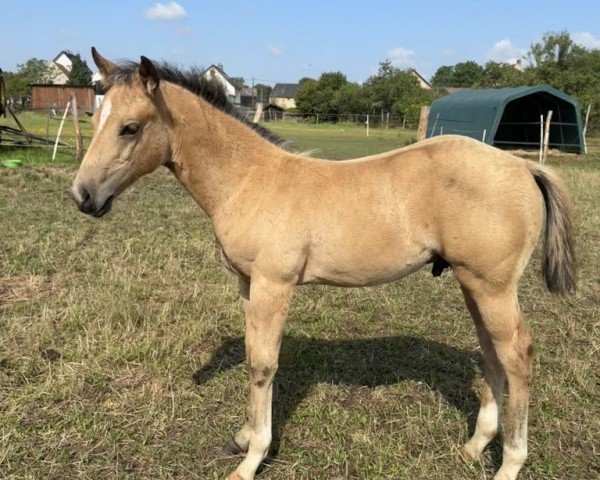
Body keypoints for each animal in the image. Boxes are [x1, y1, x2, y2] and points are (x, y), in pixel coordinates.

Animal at [71, 49, 576, 480]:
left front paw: (252, 459)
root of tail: (522, 166)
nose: (82, 196)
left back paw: (509, 463)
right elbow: (254, 355)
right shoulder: (247, 284)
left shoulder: (274, 284)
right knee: (492, 352)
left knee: (517, 355)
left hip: (493, 286)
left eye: (130, 127)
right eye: (96, 117)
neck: (249, 179)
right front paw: (244, 436)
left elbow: (263, 364)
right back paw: (474, 446)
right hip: (475, 284)